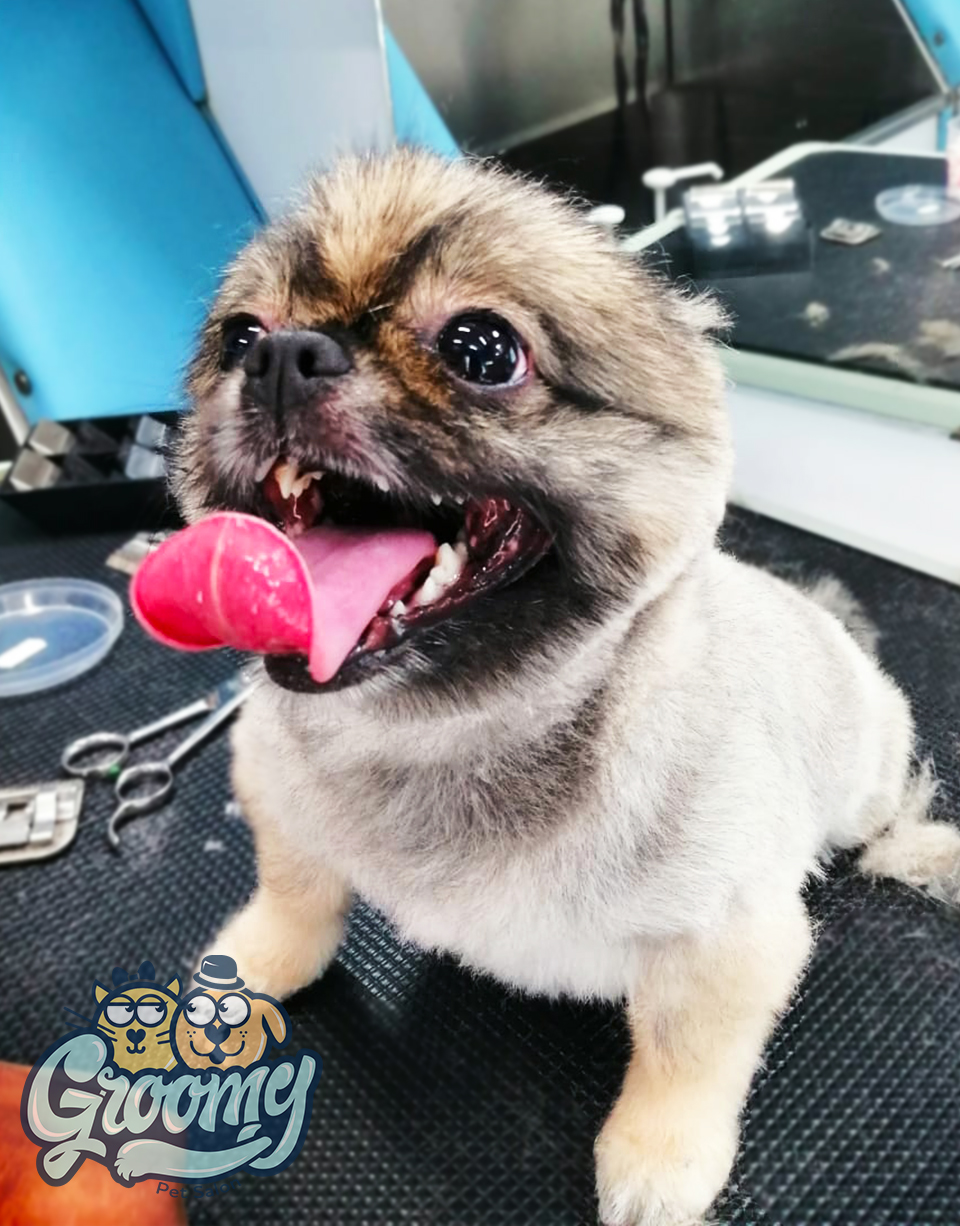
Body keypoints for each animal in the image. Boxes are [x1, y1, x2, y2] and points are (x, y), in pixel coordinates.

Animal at [173, 149, 960, 1224]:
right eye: (239, 335)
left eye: (481, 348)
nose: (282, 355)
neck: (445, 735)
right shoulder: (276, 796)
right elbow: (296, 896)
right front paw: (249, 966)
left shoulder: (727, 937)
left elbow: (683, 1055)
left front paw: (658, 1160)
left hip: (867, 768)